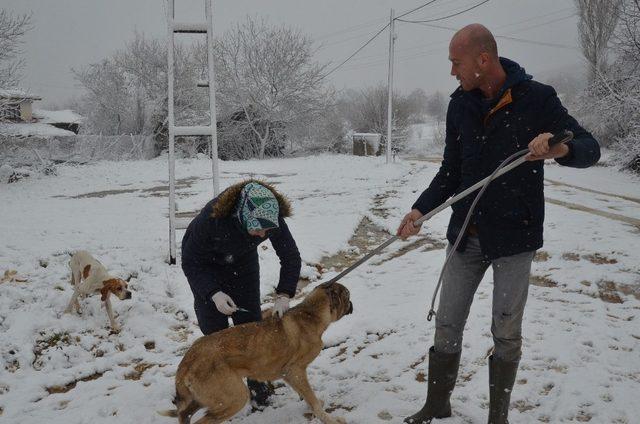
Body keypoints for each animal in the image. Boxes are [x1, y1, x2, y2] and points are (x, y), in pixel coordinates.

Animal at [158, 282, 352, 424]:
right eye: (347, 296)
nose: (352, 304)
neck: (311, 314)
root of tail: (187, 360)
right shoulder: (295, 371)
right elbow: (312, 399)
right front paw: (330, 419)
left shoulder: (290, 375)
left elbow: (307, 397)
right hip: (235, 397)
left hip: (201, 399)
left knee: (185, 415)